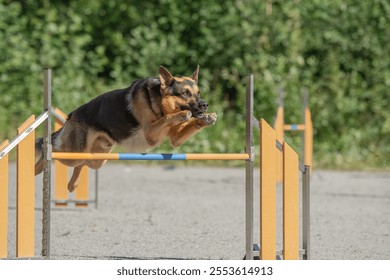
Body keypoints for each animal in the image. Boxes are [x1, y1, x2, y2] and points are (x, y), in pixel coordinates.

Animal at [34, 66, 216, 192]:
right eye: (185, 93)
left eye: (198, 93)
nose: (205, 105)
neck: (158, 102)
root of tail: (73, 114)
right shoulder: (151, 132)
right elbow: (167, 118)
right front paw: (182, 115)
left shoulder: (175, 139)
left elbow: (191, 124)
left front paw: (206, 119)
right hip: (73, 153)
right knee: (50, 148)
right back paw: (37, 167)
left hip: (96, 159)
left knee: (82, 164)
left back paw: (72, 184)